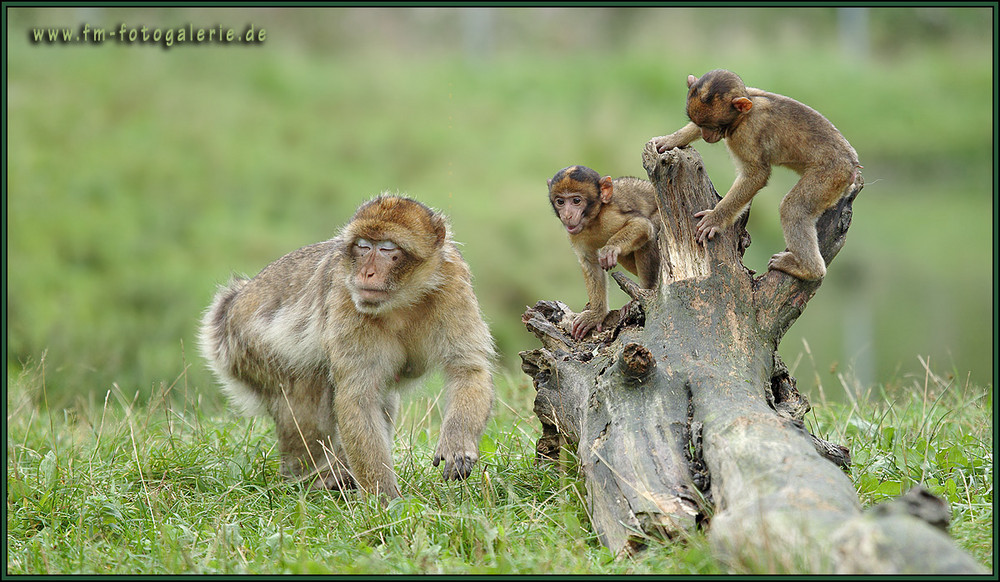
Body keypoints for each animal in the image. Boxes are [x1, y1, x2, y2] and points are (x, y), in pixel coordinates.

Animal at [202, 195, 496, 502]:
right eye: (363, 246)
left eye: (387, 249)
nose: (366, 272)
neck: (403, 299)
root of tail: (234, 301)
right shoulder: (347, 298)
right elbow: (357, 397)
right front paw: (384, 499)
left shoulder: (453, 285)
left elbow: (467, 369)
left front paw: (457, 444)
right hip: (250, 348)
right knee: (308, 403)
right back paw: (311, 481)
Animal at [656, 68, 860, 282]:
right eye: (700, 124)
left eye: (711, 126)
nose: (705, 135)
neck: (743, 117)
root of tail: (852, 165)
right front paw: (671, 139)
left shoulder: (747, 135)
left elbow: (757, 174)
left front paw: (715, 219)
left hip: (831, 175)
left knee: (793, 208)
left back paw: (808, 270)